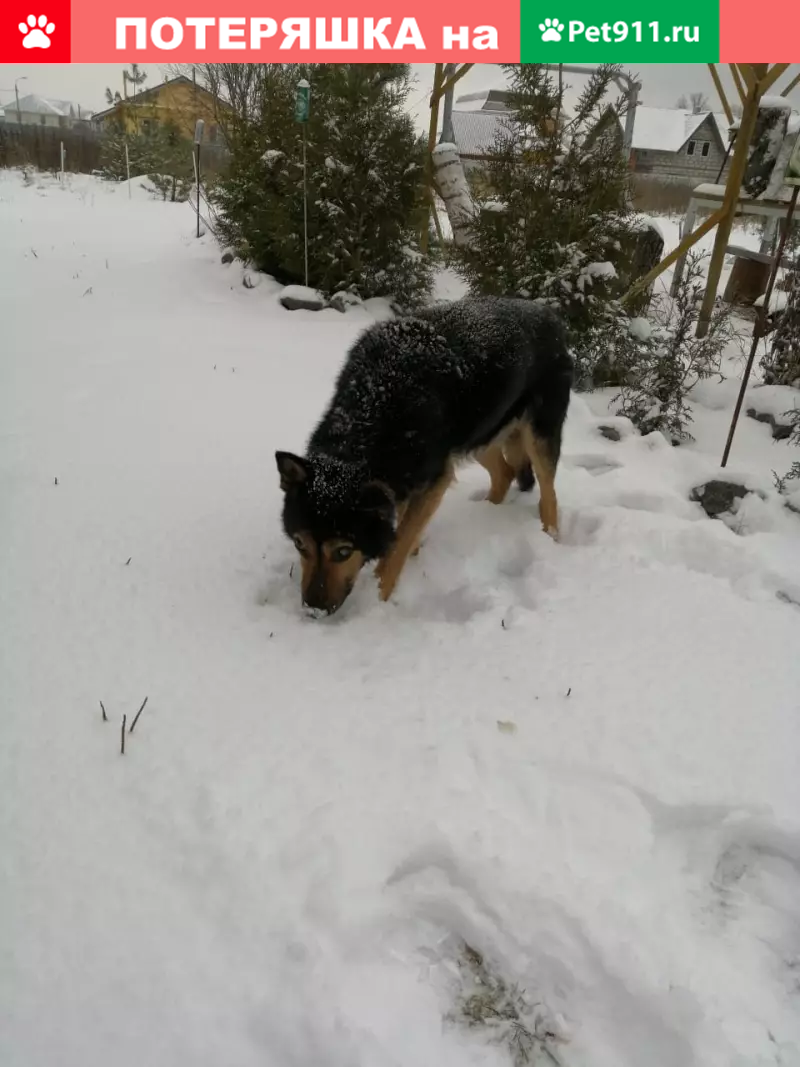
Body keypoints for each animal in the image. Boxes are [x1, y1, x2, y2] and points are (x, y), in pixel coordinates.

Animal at [279, 296, 571, 614]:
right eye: (299, 544)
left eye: (343, 551)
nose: (313, 611)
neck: (378, 402)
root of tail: (548, 313)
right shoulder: (413, 478)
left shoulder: (433, 480)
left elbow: (397, 546)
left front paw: (378, 599)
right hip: (477, 437)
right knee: (504, 474)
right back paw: (486, 514)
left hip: (536, 437)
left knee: (548, 495)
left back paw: (550, 536)